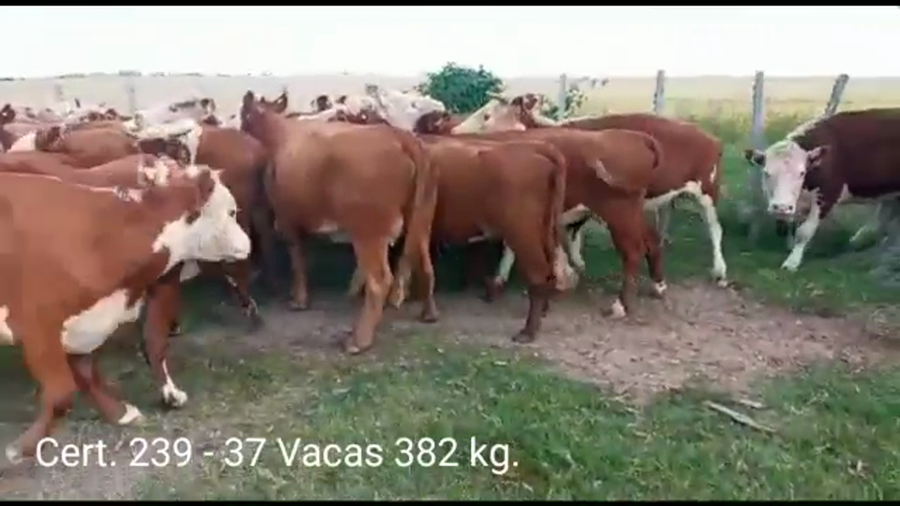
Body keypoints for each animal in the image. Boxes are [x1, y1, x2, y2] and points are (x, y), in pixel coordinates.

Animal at [0, 157, 251, 465]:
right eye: (231, 211)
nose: (248, 244)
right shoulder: (38, 324)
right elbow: (61, 393)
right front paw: (20, 448)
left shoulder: (85, 322)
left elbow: (87, 372)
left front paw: (119, 413)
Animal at [239, 90, 438, 354]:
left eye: (243, 117)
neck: (280, 134)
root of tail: (400, 136)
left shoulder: (286, 218)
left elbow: (297, 259)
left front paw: (299, 299)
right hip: (423, 218)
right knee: (425, 263)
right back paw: (429, 313)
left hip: (368, 230)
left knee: (379, 280)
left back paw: (359, 340)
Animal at [744, 108, 900, 271]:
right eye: (766, 173)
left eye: (801, 173)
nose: (781, 207)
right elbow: (793, 227)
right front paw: (791, 246)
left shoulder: (827, 195)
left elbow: (804, 231)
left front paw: (793, 261)